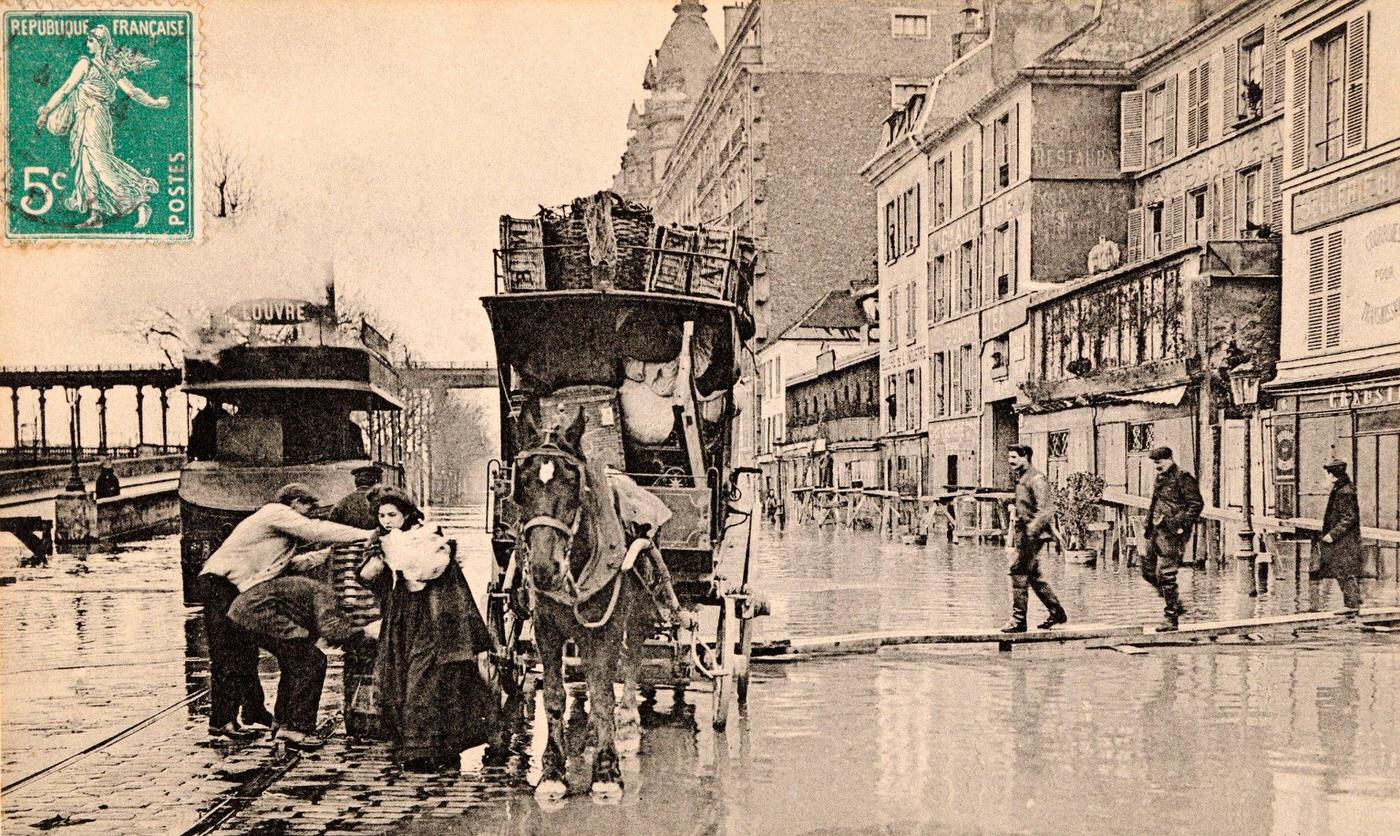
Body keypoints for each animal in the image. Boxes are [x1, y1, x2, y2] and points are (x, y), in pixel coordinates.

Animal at [515, 403, 660, 800]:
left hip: (636, 613)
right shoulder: (546, 629)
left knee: (631, 659)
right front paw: (552, 771)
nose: (544, 568)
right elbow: (553, 695)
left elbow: (603, 690)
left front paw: (607, 772)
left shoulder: (607, 628)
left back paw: (626, 722)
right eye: (523, 482)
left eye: (571, 481)